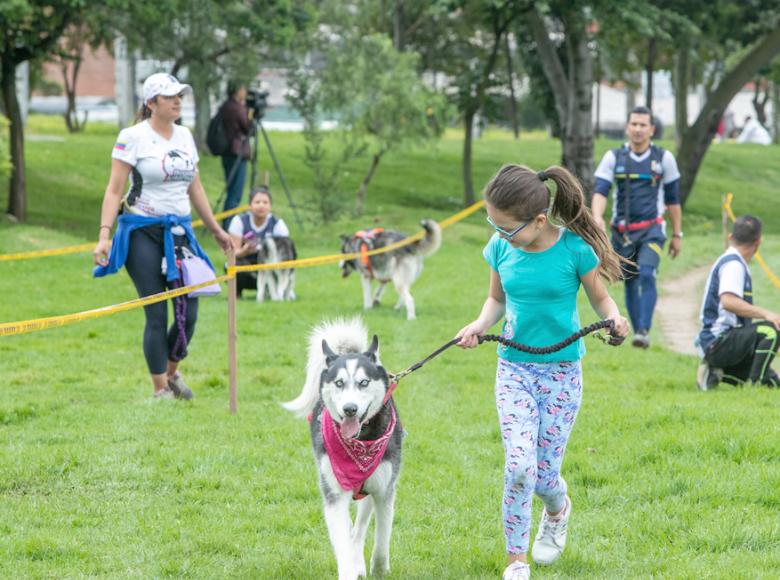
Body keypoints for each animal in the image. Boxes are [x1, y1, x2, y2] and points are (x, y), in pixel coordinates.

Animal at [282, 320, 402, 576]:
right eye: (339, 383)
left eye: (363, 382)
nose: (350, 409)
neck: (362, 441)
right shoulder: (334, 493)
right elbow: (342, 543)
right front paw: (349, 568)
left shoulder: (384, 491)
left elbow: (381, 544)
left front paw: (378, 569)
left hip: (369, 490)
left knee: (359, 528)